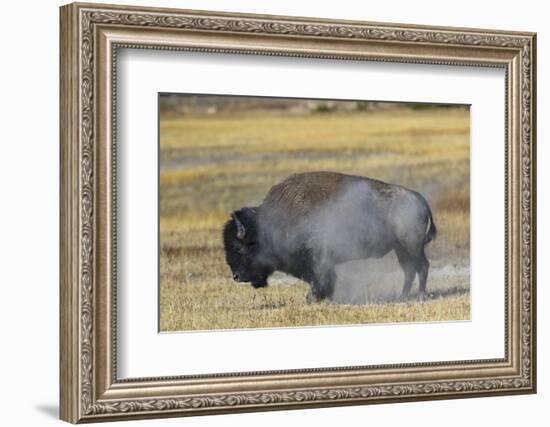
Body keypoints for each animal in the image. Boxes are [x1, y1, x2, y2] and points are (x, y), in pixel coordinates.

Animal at [222, 172, 438, 302]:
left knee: (422, 267)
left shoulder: (319, 258)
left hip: (412, 247)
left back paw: (420, 296)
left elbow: (322, 277)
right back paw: (403, 296)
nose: (236, 276)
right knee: (409, 270)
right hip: (400, 249)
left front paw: (313, 298)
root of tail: (419, 200)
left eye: (239, 248)